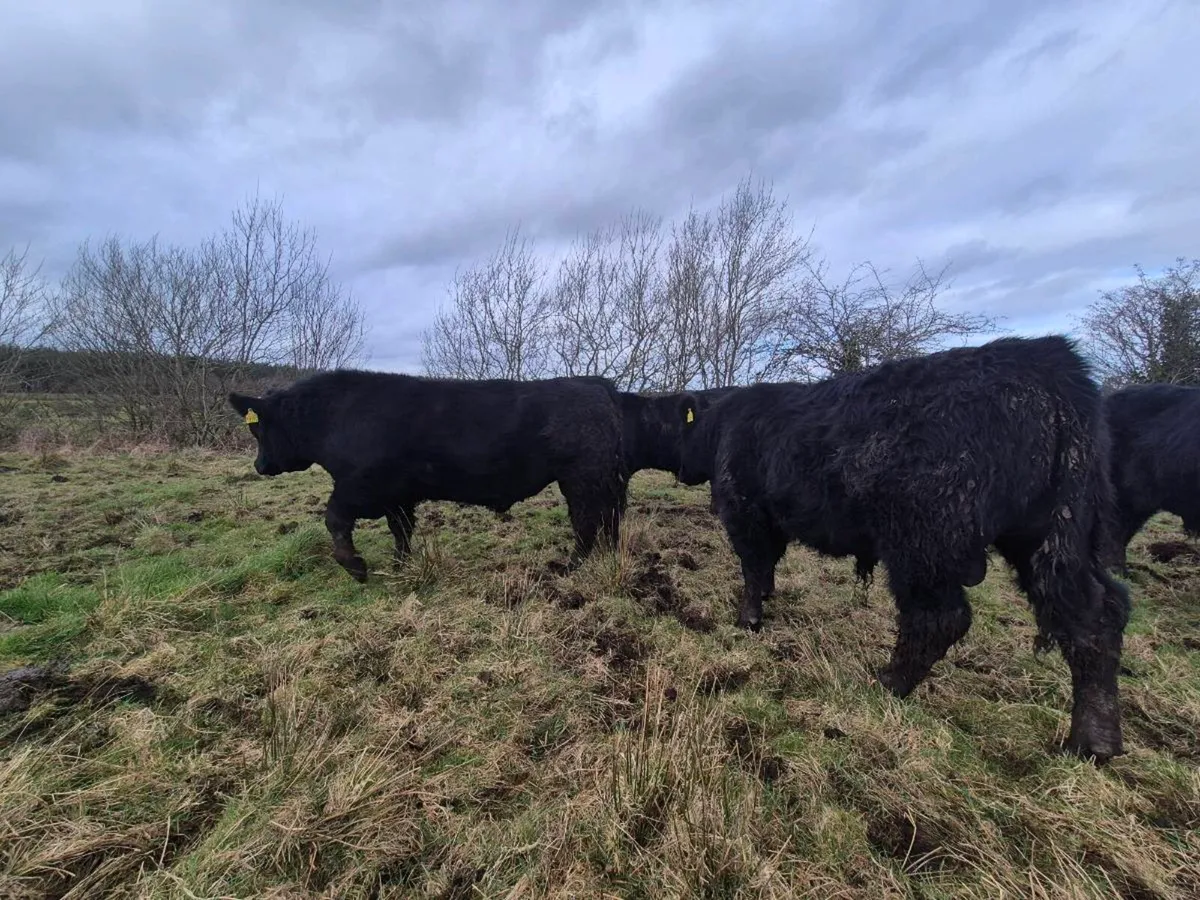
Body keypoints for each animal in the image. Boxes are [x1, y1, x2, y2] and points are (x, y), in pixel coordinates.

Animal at [228, 370, 629, 582]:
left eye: (257, 428)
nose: (259, 466)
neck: (335, 418)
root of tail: (595, 385)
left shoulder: (359, 485)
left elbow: (334, 519)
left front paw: (357, 568)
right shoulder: (397, 496)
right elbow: (401, 529)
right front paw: (399, 565)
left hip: (581, 477)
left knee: (587, 522)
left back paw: (569, 567)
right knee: (609, 518)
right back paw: (608, 557)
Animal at [675, 335, 1132, 762]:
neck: (728, 422)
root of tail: (1047, 359)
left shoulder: (743, 510)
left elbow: (753, 566)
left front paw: (747, 619)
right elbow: (767, 566)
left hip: (922, 543)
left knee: (940, 618)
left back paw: (887, 683)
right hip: (1052, 537)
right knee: (1094, 616)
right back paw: (1095, 740)